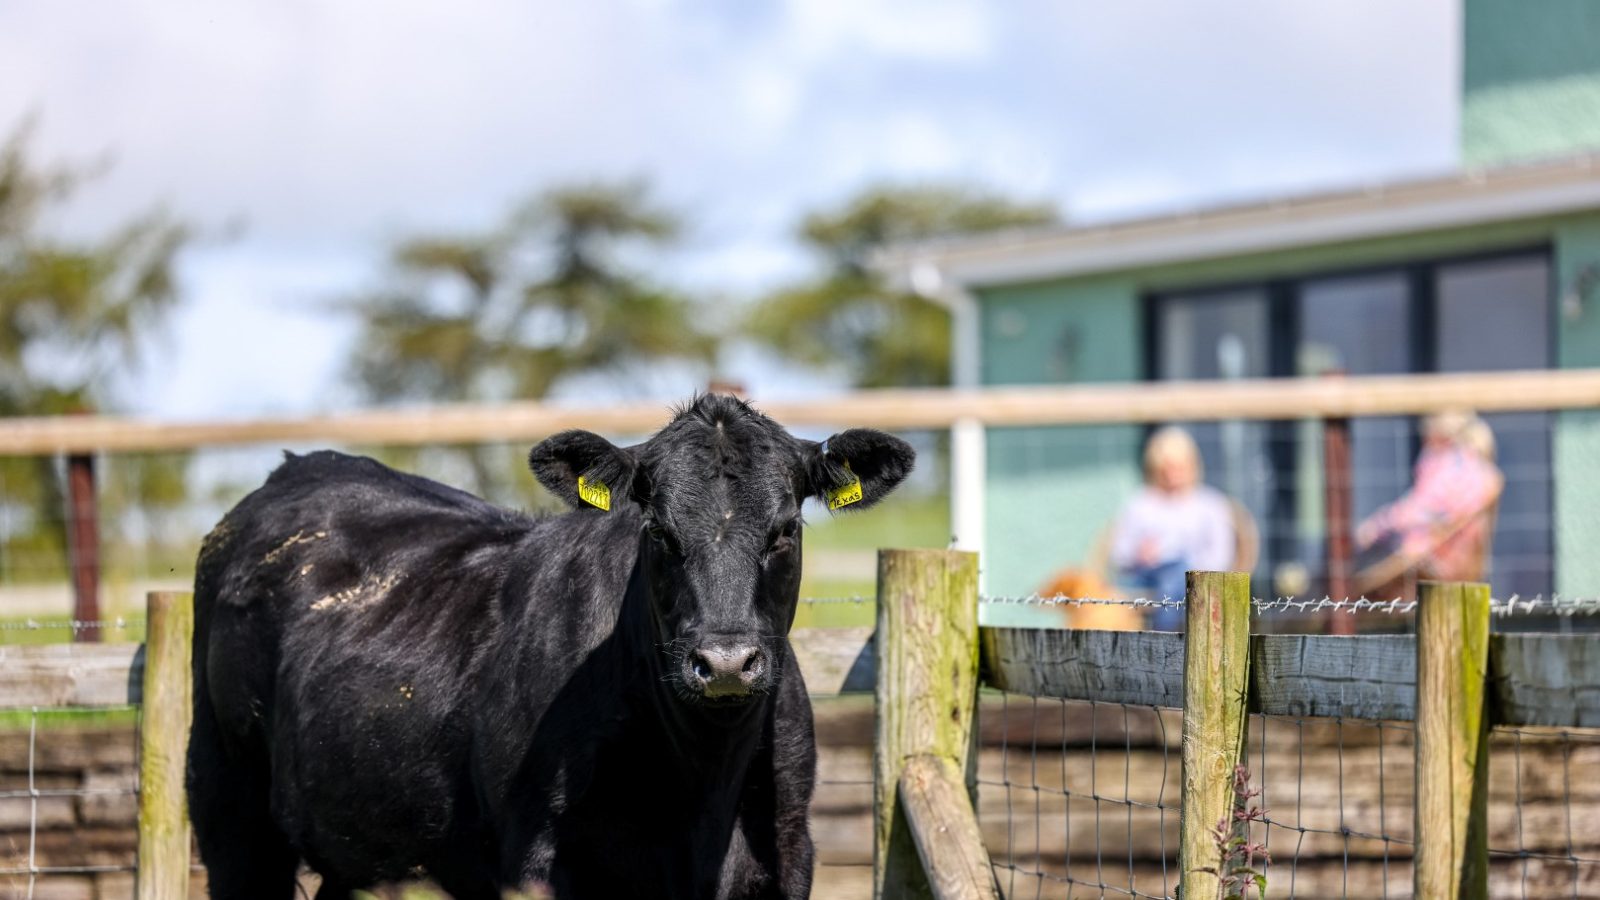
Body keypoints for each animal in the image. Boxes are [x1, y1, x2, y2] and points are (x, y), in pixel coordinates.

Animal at [185, 395, 915, 896]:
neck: (704, 785)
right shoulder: (538, 856)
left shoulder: (788, 852)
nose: (726, 663)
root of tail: (300, 468)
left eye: (786, 529)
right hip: (227, 806)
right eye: (658, 529)